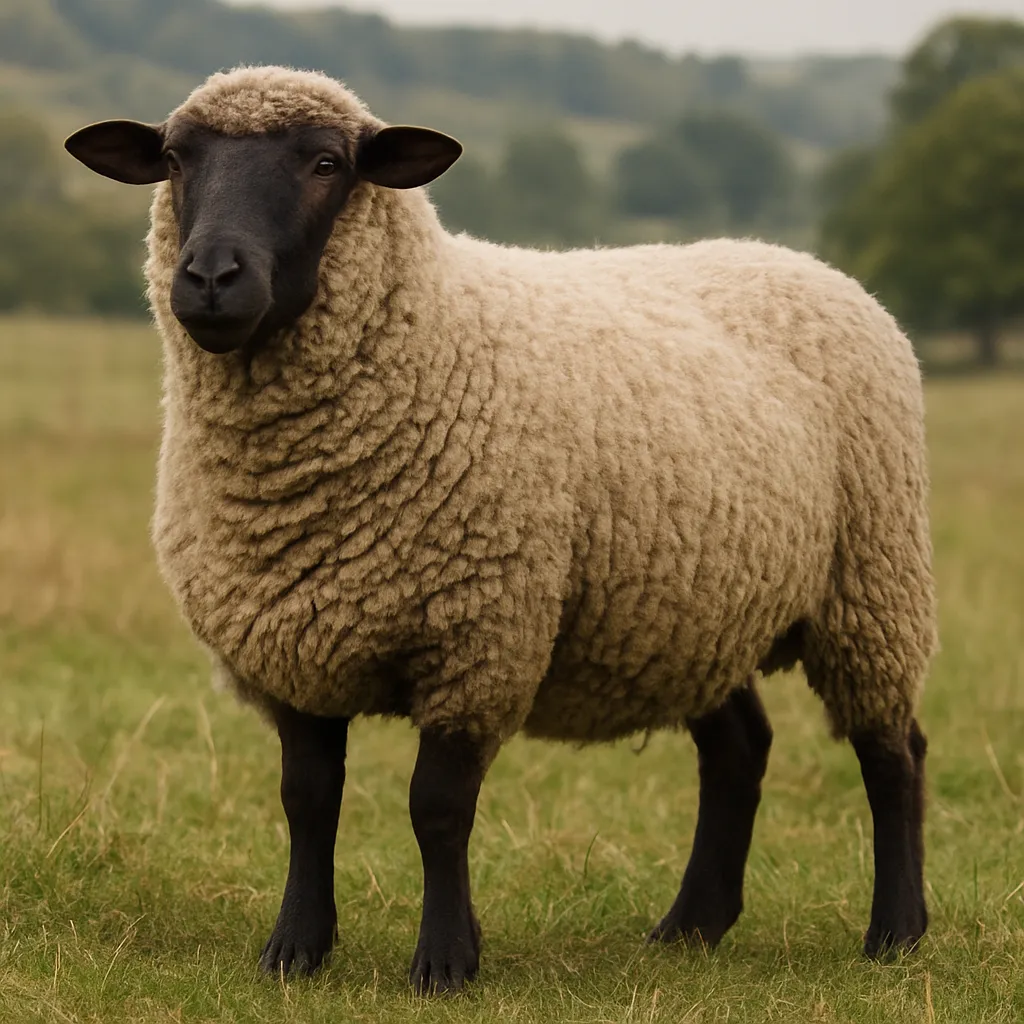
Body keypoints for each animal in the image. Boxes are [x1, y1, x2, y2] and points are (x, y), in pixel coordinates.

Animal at [64, 65, 937, 995]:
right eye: (175, 160)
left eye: (327, 163)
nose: (209, 276)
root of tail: (803, 262)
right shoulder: (292, 645)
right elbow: (307, 801)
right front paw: (294, 950)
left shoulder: (478, 638)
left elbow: (437, 810)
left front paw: (446, 962)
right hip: (693, 610)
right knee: (740, 749)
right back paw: (691, 928)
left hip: (872, 580)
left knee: (893, 753)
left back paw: (896, 933)